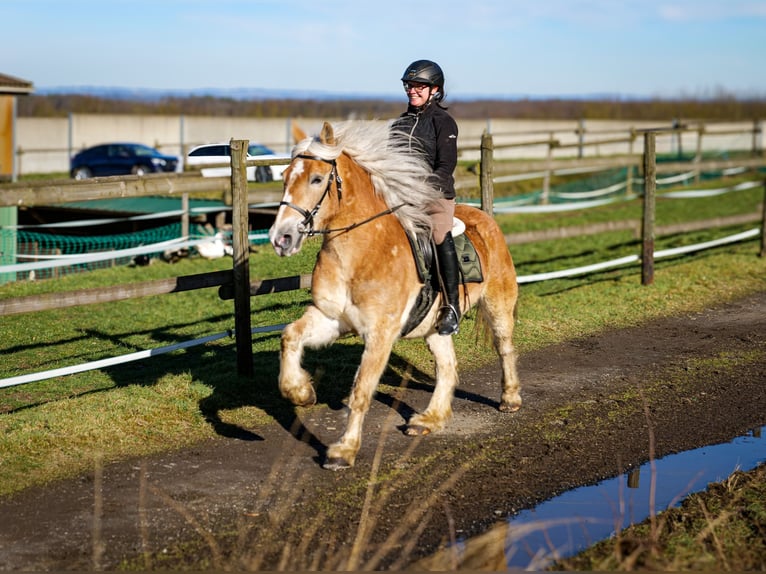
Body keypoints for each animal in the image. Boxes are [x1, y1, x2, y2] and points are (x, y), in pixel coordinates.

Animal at [268, 121, 520, 472]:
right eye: (286, 176)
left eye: (317, 179)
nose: (281, 238)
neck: (361, 252)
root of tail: (486, 218)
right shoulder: (331, 318)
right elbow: (289, 336)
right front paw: (301, 392)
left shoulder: (380, 333)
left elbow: (361, 389)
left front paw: (344, 450)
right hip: (435, 327)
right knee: (447, 366)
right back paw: (430, 419)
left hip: (498, 306)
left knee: (505, 348)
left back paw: (510, 400)